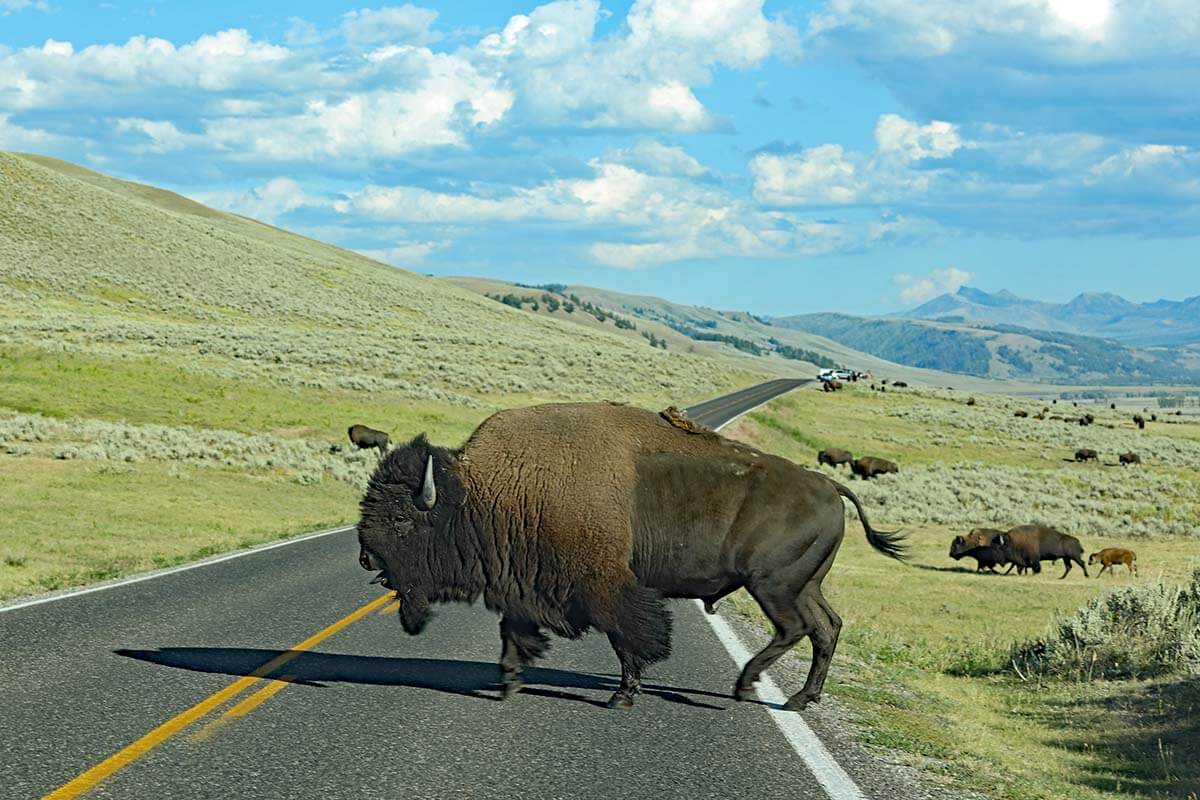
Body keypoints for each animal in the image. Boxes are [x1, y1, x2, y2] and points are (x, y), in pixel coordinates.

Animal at [355, 401, 905, 712]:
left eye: (402, 519)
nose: (365, 557)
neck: (489, 490)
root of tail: (830, 486)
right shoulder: (526, 586)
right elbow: (515, 633)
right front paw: (509, 683)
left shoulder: (605, 585)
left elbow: (629, 638)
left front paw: (621, 696)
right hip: (803, 586)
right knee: (826, 628)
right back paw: (799, 700)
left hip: (773, 586)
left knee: (796, 629)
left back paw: (746, 687)